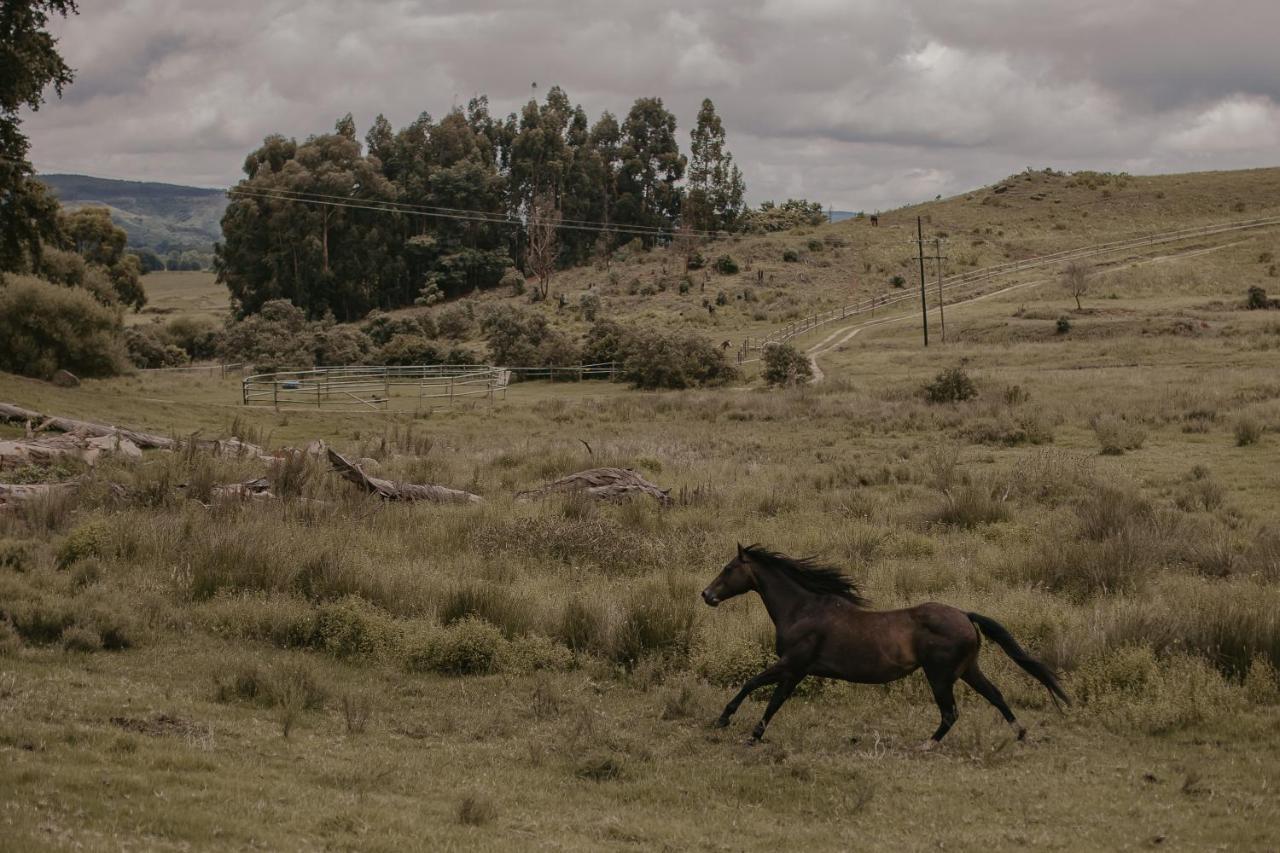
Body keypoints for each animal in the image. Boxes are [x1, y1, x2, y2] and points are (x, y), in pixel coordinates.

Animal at [701, 545, 1070, 742]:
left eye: (729, 568)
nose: (706, 595)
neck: (802, 609)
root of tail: (965, 616)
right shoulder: (796, 670)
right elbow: (765, 694)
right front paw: (741, 728)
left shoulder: (793, 665)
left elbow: (759, 690)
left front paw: (735, 726)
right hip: (968, 670)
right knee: (995, 695)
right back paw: (1021, 734)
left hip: (939, 675)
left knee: (950, 712)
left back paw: (927, 744)